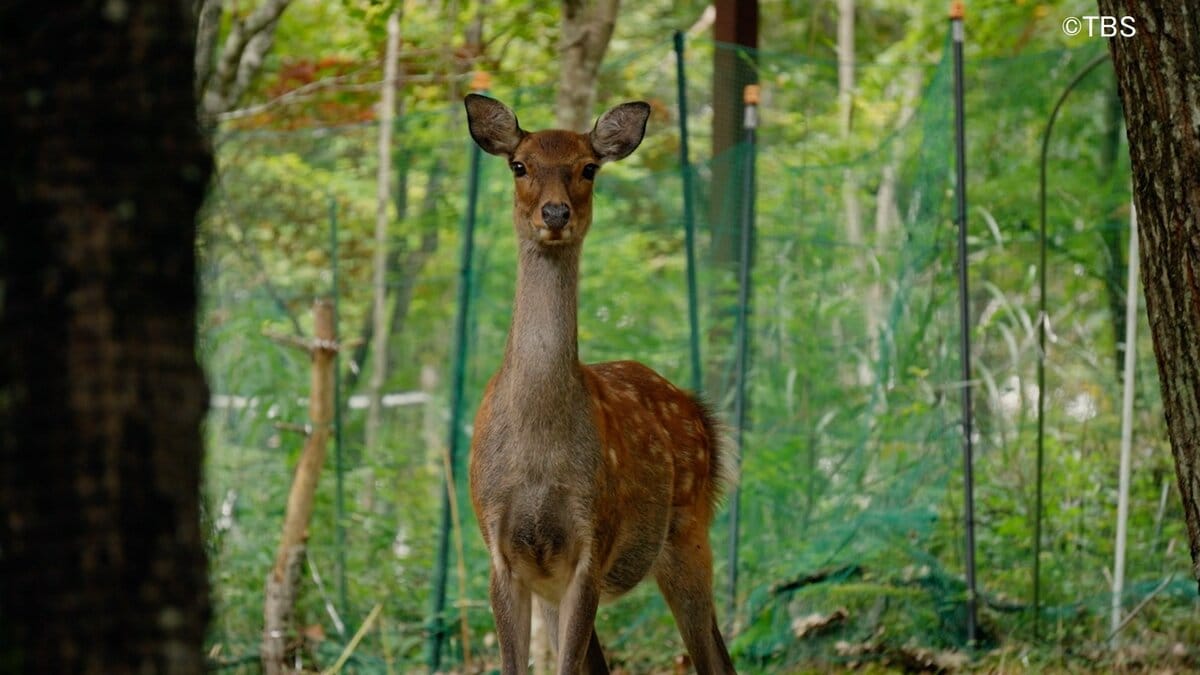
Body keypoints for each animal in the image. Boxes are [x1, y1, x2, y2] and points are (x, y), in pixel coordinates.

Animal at [463, 92, 737, 675]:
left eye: (588, 167)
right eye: (518, 165)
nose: (555, 213)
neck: (539, 459)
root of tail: (700, 412)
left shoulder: (591, 543)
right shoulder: (504, 551)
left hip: (688, 531)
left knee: (710, 654)